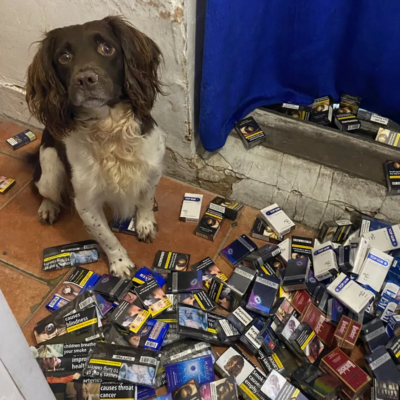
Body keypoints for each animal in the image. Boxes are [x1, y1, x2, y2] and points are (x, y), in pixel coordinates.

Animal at [25, 16, 165, 278]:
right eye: (64, 57)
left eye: (107, 48)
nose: (85, 79)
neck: (109, 130)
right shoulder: (86, 202)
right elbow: (106, 236)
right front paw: (120, 263)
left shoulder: (151, 170)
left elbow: (145, 200)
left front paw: (145, 224)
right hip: (49, 168)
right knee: (44, 190)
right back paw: (48, 208)